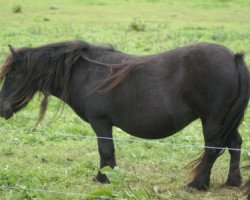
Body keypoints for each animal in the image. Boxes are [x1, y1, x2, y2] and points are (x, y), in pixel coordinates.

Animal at [0, 40, 248, 191]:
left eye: (12, 76)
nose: (2, 109)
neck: (87, 73)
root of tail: (233, 57)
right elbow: (108, 152)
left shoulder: (100, 122)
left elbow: (105, 150)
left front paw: (103, 178)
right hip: (226, 121)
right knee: (235, 144)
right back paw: (232, 182)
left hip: (213, 120)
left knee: (213, 149)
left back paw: (197, 184)